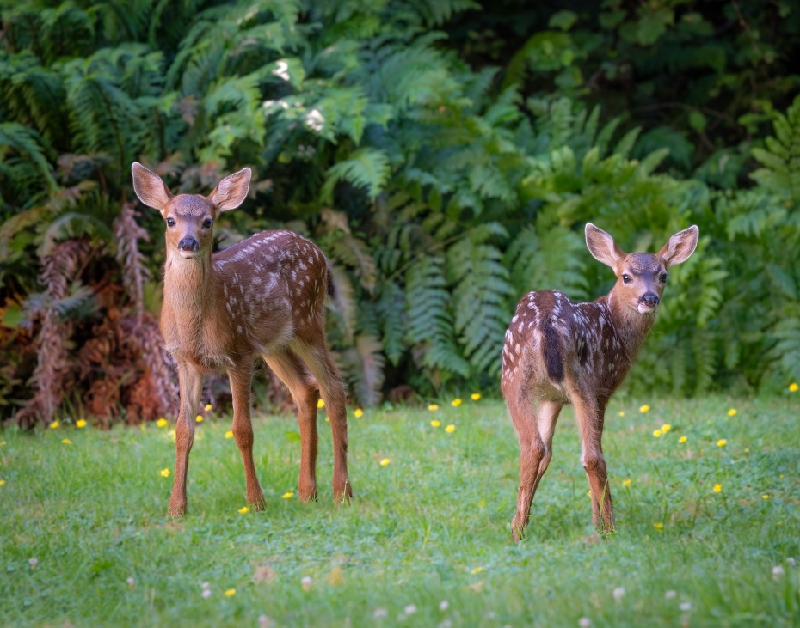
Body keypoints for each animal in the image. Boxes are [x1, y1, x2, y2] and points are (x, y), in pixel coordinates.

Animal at [131, 162, 352, 516]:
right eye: (170, 219)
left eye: (208, 220)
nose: (188, 243)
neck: (196, 322)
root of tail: (318, 251)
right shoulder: (185, 361)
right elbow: (183, 430)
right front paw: (177, 508)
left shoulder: (239, 354)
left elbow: (242, 429)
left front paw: (256, 501)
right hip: (275, 343)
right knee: (306, 388)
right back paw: (307, 492)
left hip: (308, 322)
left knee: (333, 385)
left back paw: (341, 491)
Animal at [501, 223, 698, 540]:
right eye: (626, 276)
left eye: (663, 275)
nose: (649, 298)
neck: (616, 326)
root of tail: (546, 323)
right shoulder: (604, 387)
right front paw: (596, 522)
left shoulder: (552, 398)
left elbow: (547, 454)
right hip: (569, 379)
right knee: (592, 455)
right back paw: (609, 528)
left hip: (521, 378)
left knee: (535, 447)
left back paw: (518, 530)